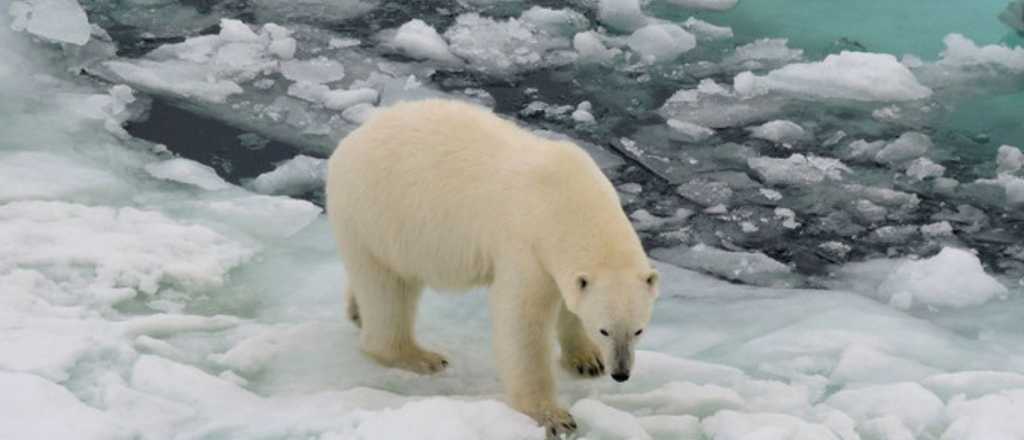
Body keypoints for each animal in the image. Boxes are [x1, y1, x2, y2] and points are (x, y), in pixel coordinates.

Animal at [325, 98, 655, 433]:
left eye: (638, 330)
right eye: (605, 330)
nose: (621, 373)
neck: (568, 197)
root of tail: (349, 143)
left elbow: (569, 302)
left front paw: (587, 360)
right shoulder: (525, 244)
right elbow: (522, 321)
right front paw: (553, 416)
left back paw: (356, 310)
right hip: (377, 214)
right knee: (388, 291)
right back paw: (419, 356)